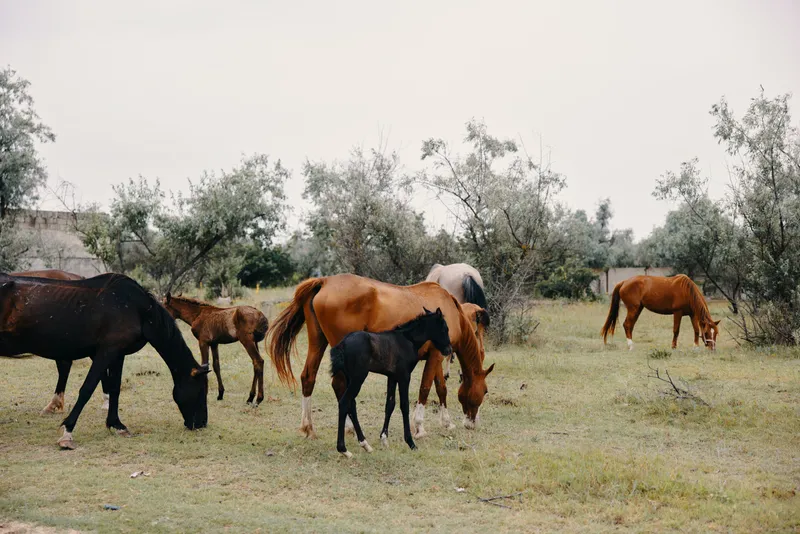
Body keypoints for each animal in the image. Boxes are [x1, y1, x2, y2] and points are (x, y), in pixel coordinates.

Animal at [267, 273, 494, 441]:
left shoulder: (436, 356)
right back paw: (349, 427)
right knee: (339, 385)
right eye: (484, 391)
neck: (450, 310)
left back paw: (308, 427)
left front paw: (446, 422)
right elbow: (425, 388)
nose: (472, 423)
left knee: (308, 377)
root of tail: (324, 281)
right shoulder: (437, 355)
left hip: (318, 342)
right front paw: (419, 427)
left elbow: (441, 389)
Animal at [330, 308, 452, 457]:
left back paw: (365, 444)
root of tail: (342, 344)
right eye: (445, 329)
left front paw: (384, 439)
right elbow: (404, 406)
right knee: (344, 402)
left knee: (351, 404)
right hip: (358, 378)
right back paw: (344, 449)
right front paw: (411, 442)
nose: (448, 350)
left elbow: (390, 404)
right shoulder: (404, 376)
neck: (407, 340)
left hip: (350, 379)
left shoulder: (392, 377)